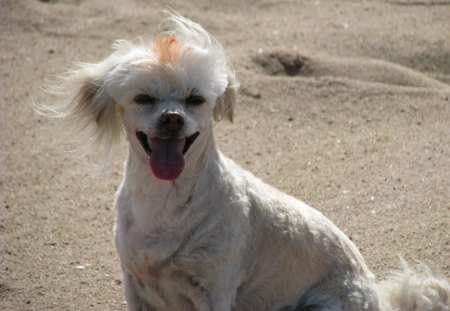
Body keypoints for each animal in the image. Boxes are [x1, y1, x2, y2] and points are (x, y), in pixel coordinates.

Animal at [51, 11, 448, 311]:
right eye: (144, 98)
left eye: (195, 99)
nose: (173, 118)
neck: (164, 200)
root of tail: (377, 297)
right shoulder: (136, 287)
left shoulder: (214, 292)